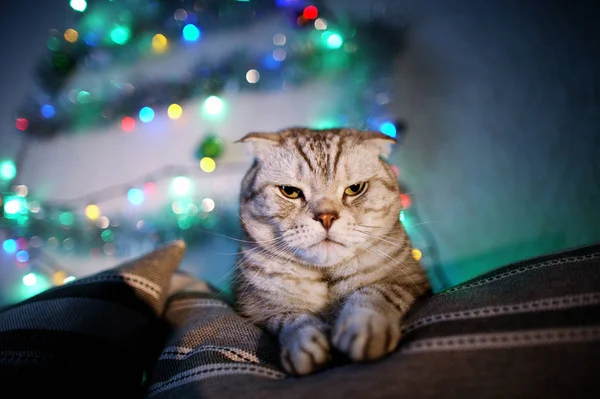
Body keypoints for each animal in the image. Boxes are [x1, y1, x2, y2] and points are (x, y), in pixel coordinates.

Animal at [234, 127, 432, 376]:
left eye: (355, 189)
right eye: (290, 191)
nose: (326, 217)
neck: (326, 276)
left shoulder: (410, 282)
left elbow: (375, 292)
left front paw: (364, 326)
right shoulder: (258, 309)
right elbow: (291, 319)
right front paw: (305, 343)